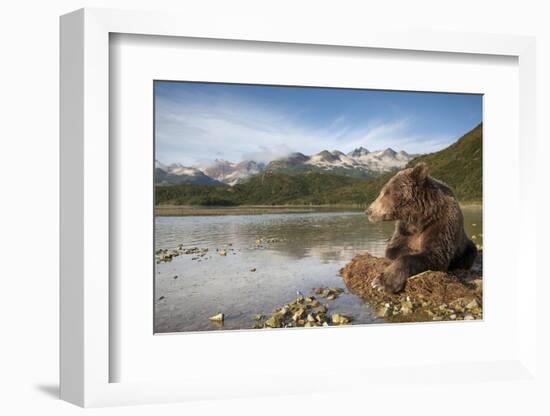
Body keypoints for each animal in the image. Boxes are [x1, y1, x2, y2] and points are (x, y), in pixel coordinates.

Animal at [366, 162, 478, 292]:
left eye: (388, 192)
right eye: (382, 192)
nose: (368, 211)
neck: (420, 218)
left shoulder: (440, 225)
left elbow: (435, 255)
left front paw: (382, 282)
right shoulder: (405, 229)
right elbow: (393, 248)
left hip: (466, 247)